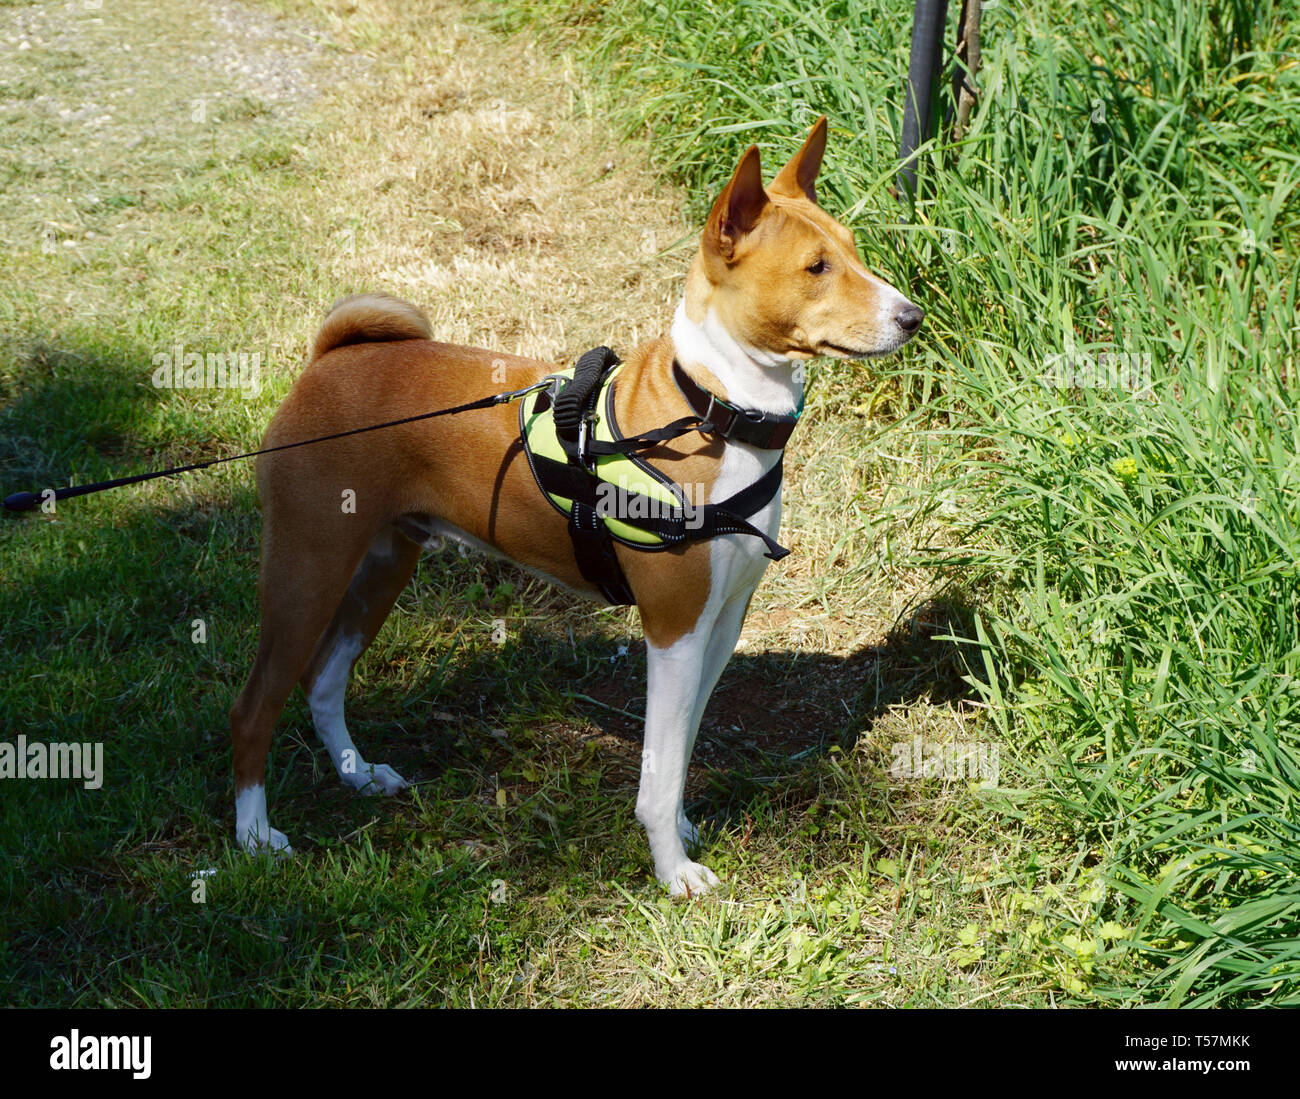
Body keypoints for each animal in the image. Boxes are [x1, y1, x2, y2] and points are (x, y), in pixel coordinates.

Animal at [231, 117, 925, 889]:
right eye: (816, 267)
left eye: (853, 251)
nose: (913, 315)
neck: (710, 412)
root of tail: (332, 357)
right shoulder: (675, 629)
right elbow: (659, 769)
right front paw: (673, 867)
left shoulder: (720, 623)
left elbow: (681, 747)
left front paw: (683, 830)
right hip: (308, 571)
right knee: (254, 707)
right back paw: (254, 833)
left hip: (381, 565)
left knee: (323, 682)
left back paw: (357, 774)